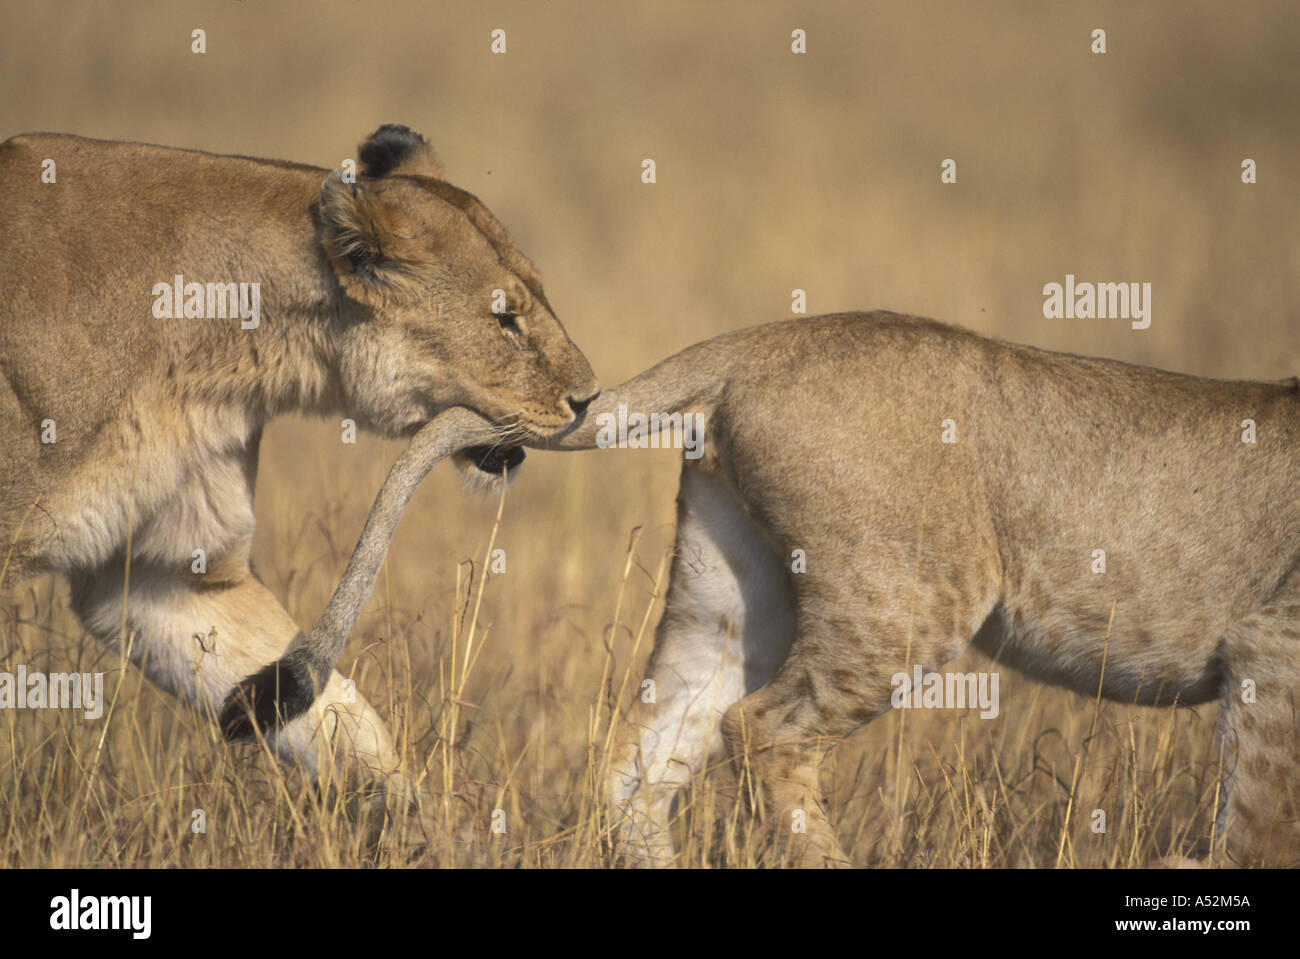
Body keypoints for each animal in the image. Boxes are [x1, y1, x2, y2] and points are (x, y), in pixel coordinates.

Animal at [532, 310, 1299, 867]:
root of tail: (764, 342)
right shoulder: (1270, 647)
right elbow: (1260, 827)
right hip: (907, 601)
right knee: (762, 728)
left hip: (727, 595)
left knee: (640, 759)